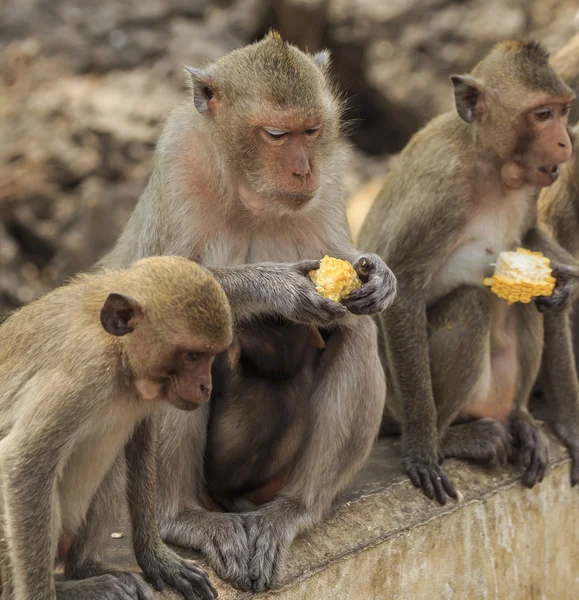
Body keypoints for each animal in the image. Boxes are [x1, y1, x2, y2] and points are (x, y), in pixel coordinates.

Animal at [0, 254, 231, 600]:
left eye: (211, 356)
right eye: (193, 356)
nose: (206, 386)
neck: (119, 354)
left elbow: (141, 439)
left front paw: (156, 557)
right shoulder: (84, 370)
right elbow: (24, 464)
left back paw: (85, 568)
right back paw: (69, 588)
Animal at [67, 31, 394, 592]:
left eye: (312, 131)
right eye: (276, 134)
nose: (303, 168)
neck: (251, 193)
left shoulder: (331, 177)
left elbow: (346, 273)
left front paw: (379, 276)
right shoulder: (179, 161)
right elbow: (147, 294)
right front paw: (277, 286)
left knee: (354, 331)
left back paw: (295, 509)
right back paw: (180, 517)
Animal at [358, 39, 579, 504]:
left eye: (563, 110)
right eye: (542, 115)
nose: (565, 143)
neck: (491, 164)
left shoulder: (534, 187)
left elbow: (531, 237)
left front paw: (566, 279)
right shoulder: (441, 190)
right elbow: (402, 288)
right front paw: (423, 449)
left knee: (525, 302)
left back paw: (520, 419)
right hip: (400, 406)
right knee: (472, 300)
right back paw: (451, 439)